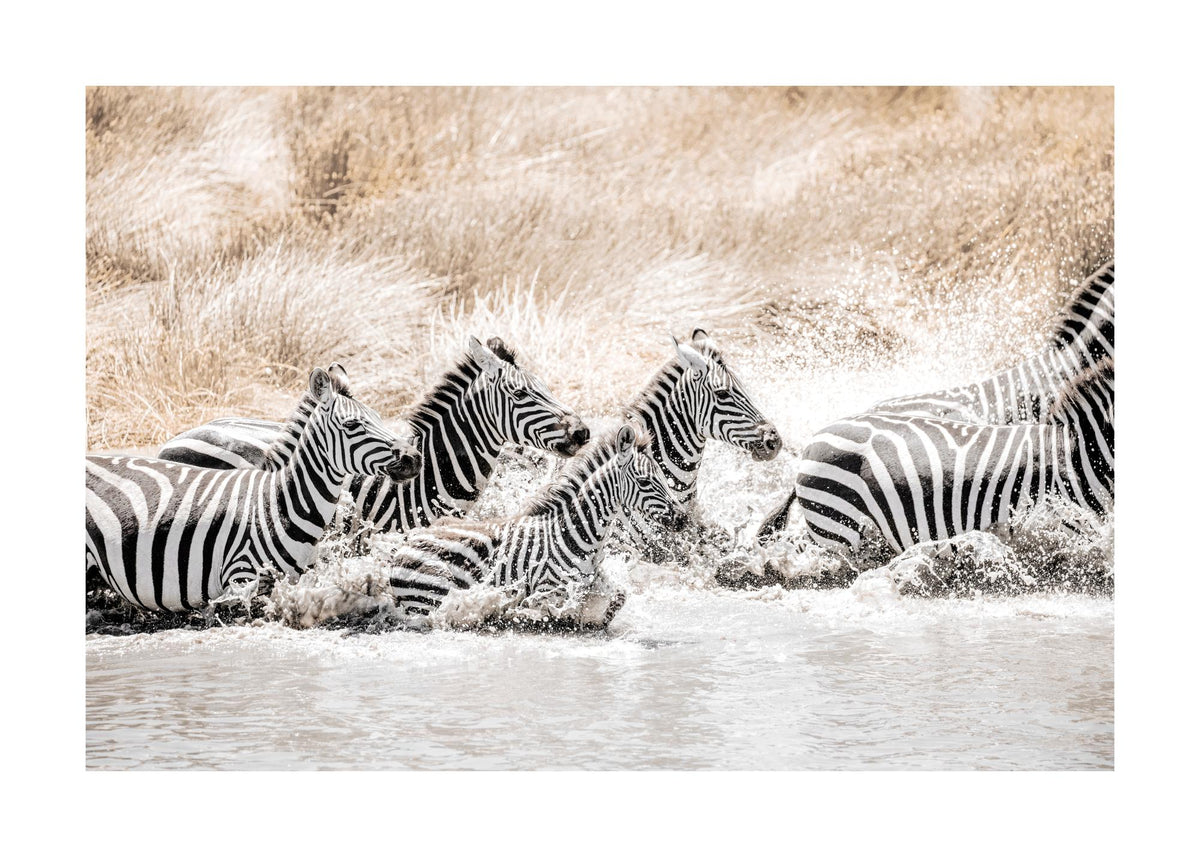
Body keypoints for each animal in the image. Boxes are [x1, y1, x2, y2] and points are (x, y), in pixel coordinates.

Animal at [86, 366, 420, 612]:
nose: (414, 458)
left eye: (379, 418)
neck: (281, 502)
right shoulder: (241, 579)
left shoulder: (299, 579)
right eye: (352, 425)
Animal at [385, 423, 687, 630]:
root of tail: (406, 543)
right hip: (433, 595)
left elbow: (619, 598)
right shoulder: (547, 590)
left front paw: (591, 620)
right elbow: (542, 610)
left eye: (662, 476)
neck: (578, 533)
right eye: (645, 482)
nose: (682, 519)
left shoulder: (593, 581)